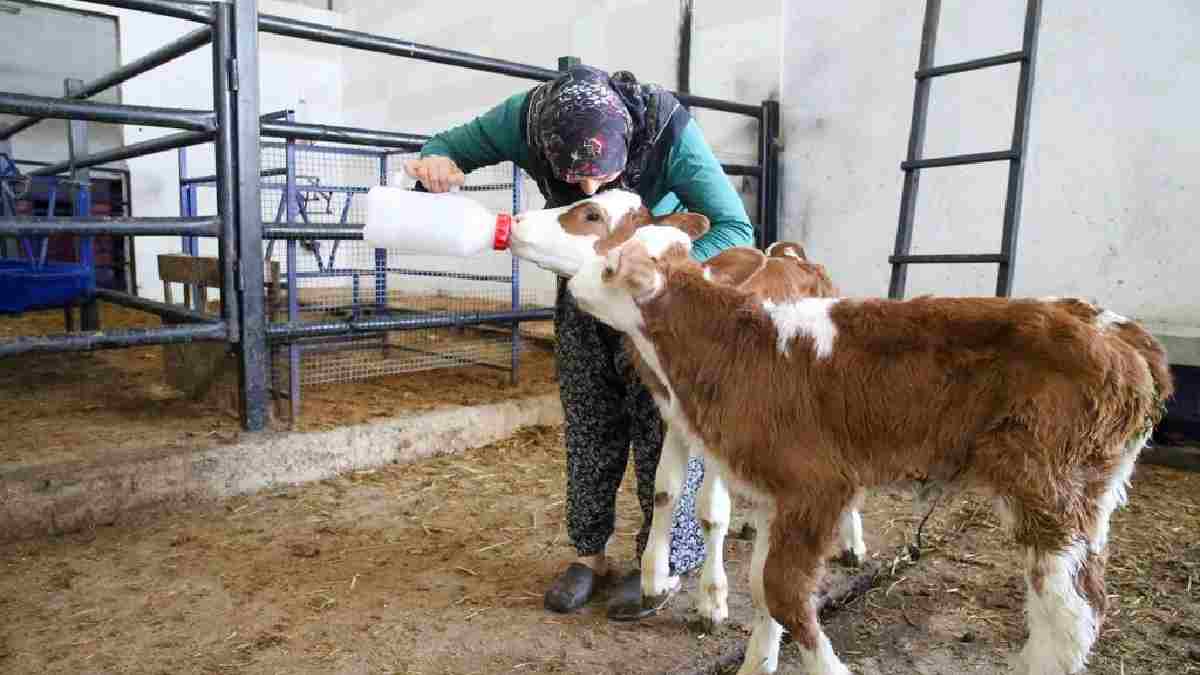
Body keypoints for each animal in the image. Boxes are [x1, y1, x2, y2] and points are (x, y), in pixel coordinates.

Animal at [506, 190, 864, 629]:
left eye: (592, 215)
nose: (516, 220)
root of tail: (790, 255)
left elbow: (710, 511)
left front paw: (711, 602)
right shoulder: (673, 417)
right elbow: (663, 490)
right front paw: (654, 577)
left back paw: (852, 545)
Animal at [564, 220, 1171, 672]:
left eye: (611, 267)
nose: (571, 287)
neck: (735, 348)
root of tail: (1116, 329)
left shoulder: (816, 484)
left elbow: (784, 591)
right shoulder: (775, 495)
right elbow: (761, 588)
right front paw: (757, 662)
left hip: (1046, 488)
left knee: (1071, 608)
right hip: (1089, 495)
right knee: (1075, 598)